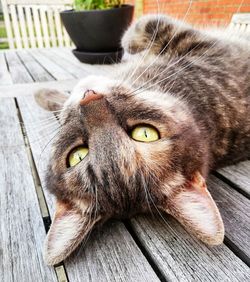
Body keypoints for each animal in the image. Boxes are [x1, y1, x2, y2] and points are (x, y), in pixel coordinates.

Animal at [34, 13, 250, 264]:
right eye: (78, 155)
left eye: (145, 134)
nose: (89, 97)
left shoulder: (202, 47)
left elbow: (146, 24)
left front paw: (129, 45)